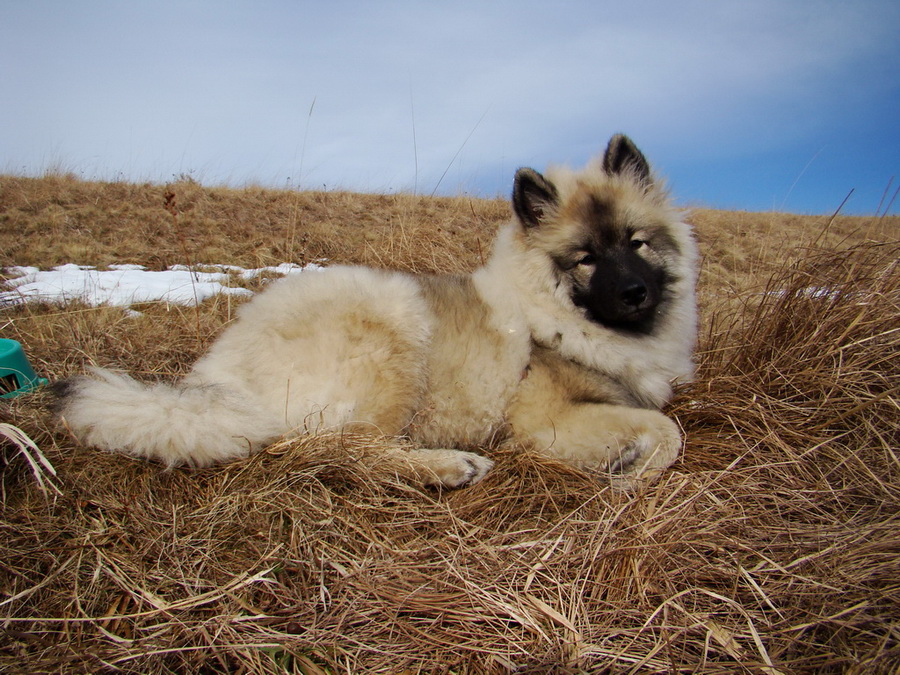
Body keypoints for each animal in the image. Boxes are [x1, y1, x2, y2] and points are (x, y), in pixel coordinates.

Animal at [56, 133, 700, 492]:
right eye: (585, 258)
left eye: (638, 243)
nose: (636, 294)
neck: (554, 313)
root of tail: (223, 376)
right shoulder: (544, 419)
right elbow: (668, 432)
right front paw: (633, 471)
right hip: (395, 328)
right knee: (349, 453)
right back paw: (448, 467)